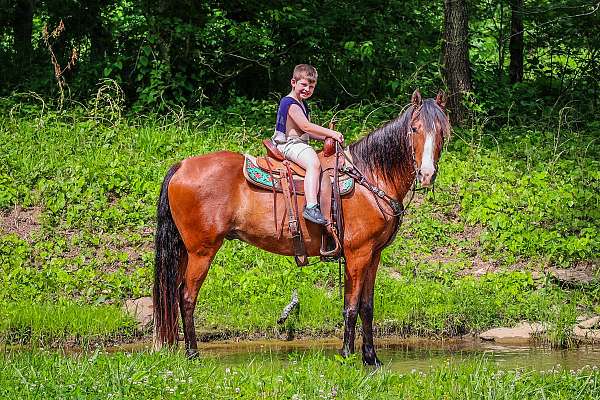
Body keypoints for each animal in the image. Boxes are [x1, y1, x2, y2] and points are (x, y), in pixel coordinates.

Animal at [152, 90, 448, 366]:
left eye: (443, 132)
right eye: (414, 129)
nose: (427, 174)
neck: (370, 176)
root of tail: (181, 166)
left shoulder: (373, 255)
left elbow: (367, 307)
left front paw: (371, 358)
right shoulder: (358, 254)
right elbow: (351, 307)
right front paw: (346, 355)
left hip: (184, 250)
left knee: (176, 293)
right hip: (201, 251)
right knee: (186, 296)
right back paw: (192, 354)